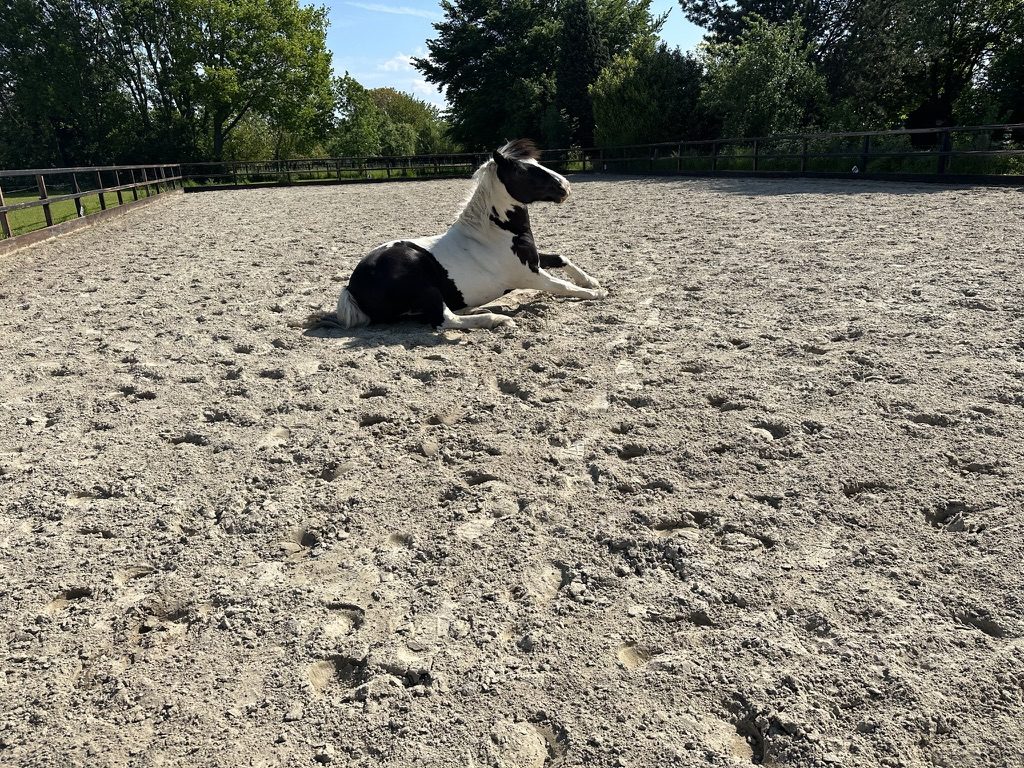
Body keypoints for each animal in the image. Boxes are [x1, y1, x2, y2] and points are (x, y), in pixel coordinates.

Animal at [335, 139, 606, 330]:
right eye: (522, 170)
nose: (565, 187)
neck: (494, 234)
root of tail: (352, 287)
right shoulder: (529, 276)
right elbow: (564, 287)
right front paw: (597, 293)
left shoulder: (535, 261)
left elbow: (562, 258)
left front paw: (591, 281)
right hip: (423, 284)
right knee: (444, 320)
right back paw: (497, 320)